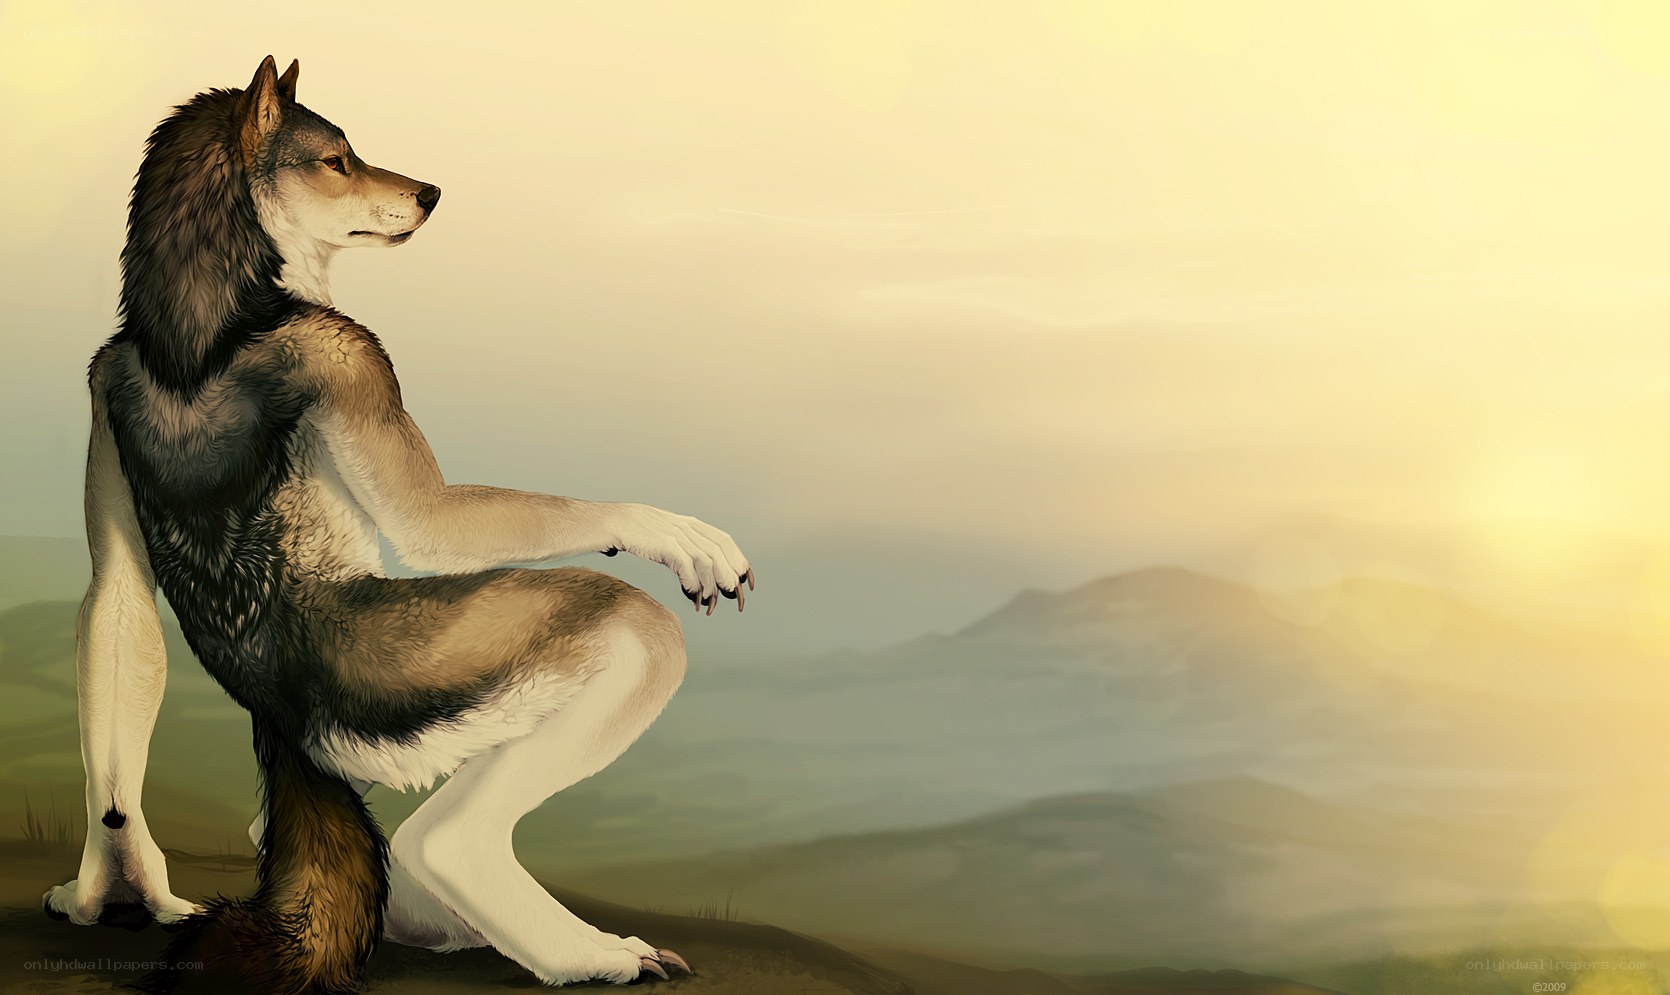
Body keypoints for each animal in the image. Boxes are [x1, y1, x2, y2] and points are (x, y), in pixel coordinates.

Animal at [41, 55, 751, 993]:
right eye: (336, 160)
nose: (432, 193)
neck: (203, 317)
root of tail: (281, 720)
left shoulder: (101, 382)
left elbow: (117, 612)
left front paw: (121, 883)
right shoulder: (350, 355)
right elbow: (430, 519)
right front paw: (674, 531)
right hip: (492, 654)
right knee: (447, 834)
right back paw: (579, 950)